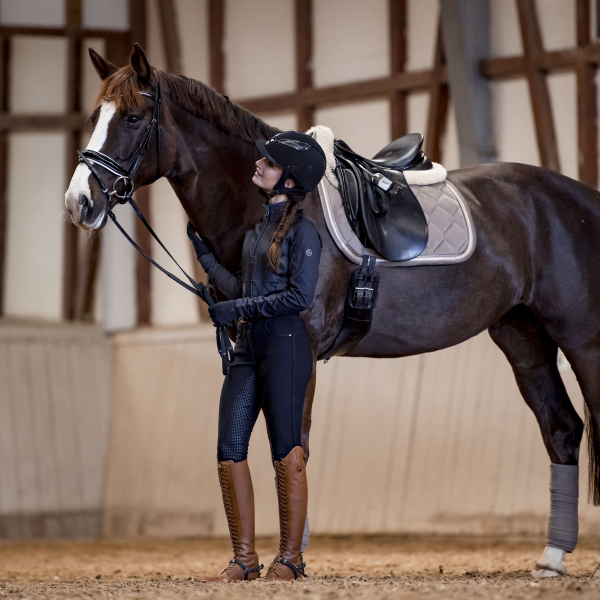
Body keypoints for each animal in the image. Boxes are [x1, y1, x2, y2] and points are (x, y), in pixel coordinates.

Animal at [65, 44, 600, 580]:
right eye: (93, 117)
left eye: (133, 117)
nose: (78, 203)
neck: (272, 210)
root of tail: (581, 196)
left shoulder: (299, 349)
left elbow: (292, 445)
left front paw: (291, 560)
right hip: (522, 337)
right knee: (561, 429)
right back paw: (551, 559)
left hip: (580, 337)